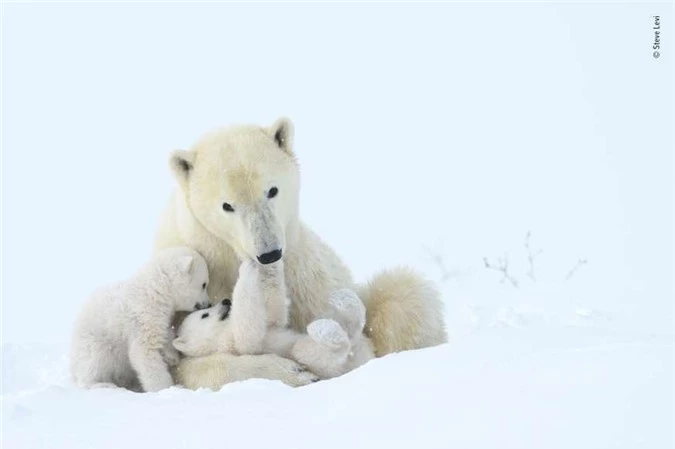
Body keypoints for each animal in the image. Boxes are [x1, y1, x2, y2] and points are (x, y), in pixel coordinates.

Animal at [71, 247, 211, 390]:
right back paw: (102, 384)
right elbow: (145, 353)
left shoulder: (158, 316)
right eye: (204, 284)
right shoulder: (142, 318)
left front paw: (171, 356)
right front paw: (166, 387)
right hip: (95, 341)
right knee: (93, 363)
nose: (209, 303)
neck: (155, 290)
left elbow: (164, 332)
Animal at [155, 117, 446, 362]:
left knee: (400, 297)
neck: (226, 255)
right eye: (227, 205)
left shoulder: (304, 278)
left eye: (272, 190)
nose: (269, 253)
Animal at [173, 260, 374, 378]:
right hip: (320, 364)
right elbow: (247, 333)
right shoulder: (229, 345)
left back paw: (344, 299)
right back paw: (323, 330)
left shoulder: (269, 324)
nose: (226, 301)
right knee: (310, 352)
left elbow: (274, 314)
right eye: (204, 314)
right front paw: (246, 269)